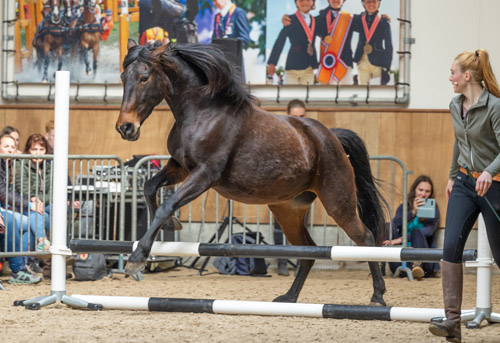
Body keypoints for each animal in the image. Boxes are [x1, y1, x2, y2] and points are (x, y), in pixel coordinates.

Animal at [116, 41, 386, 306]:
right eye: (122, 77)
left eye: (144, 77)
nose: (125, 128)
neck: (202, 112)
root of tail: (332, 137)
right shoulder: (180, 167)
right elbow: (150, 187)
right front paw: (172, 224)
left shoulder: (204, 175)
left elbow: (167, 203)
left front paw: (137, 259)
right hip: (288, 210)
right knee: (308, 251)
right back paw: (288, 297)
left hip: (338, 202)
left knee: (366, 239)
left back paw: (378, 296)